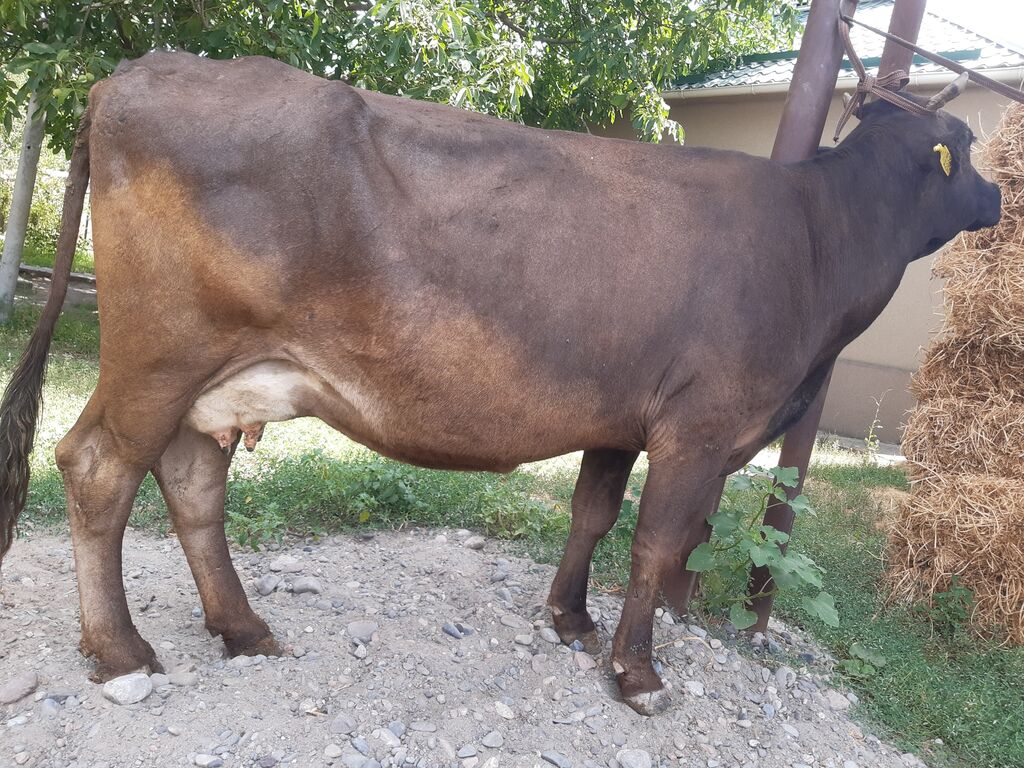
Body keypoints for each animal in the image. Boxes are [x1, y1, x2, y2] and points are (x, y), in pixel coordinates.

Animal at [0, 52, 999, 716]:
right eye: (969, 145)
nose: (995, 199)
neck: (820, 239)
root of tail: (135, 74)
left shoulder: (619, 416)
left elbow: (592, 514)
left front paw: (569, 620)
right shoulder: (702, 425)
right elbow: (657, 545)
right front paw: (638, 674)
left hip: (218, 375)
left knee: (190, 480)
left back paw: (241, 628)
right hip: (160, 354)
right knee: (98, 469)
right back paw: (121, 652)